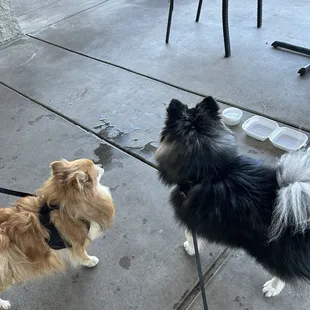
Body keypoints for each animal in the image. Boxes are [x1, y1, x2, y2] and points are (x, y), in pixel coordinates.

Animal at [0, 159, 115, 308]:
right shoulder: (77, 242)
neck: (64, 206)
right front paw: (90, 261)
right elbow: (82, 254)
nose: (101, 165)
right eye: (95, 169)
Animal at [156, 96, 310, 298]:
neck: (207, 171)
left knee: (282, 275)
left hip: (272, 254)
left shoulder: (191, 218)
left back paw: (272, 287)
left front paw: (190, 248)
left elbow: (191, 236)